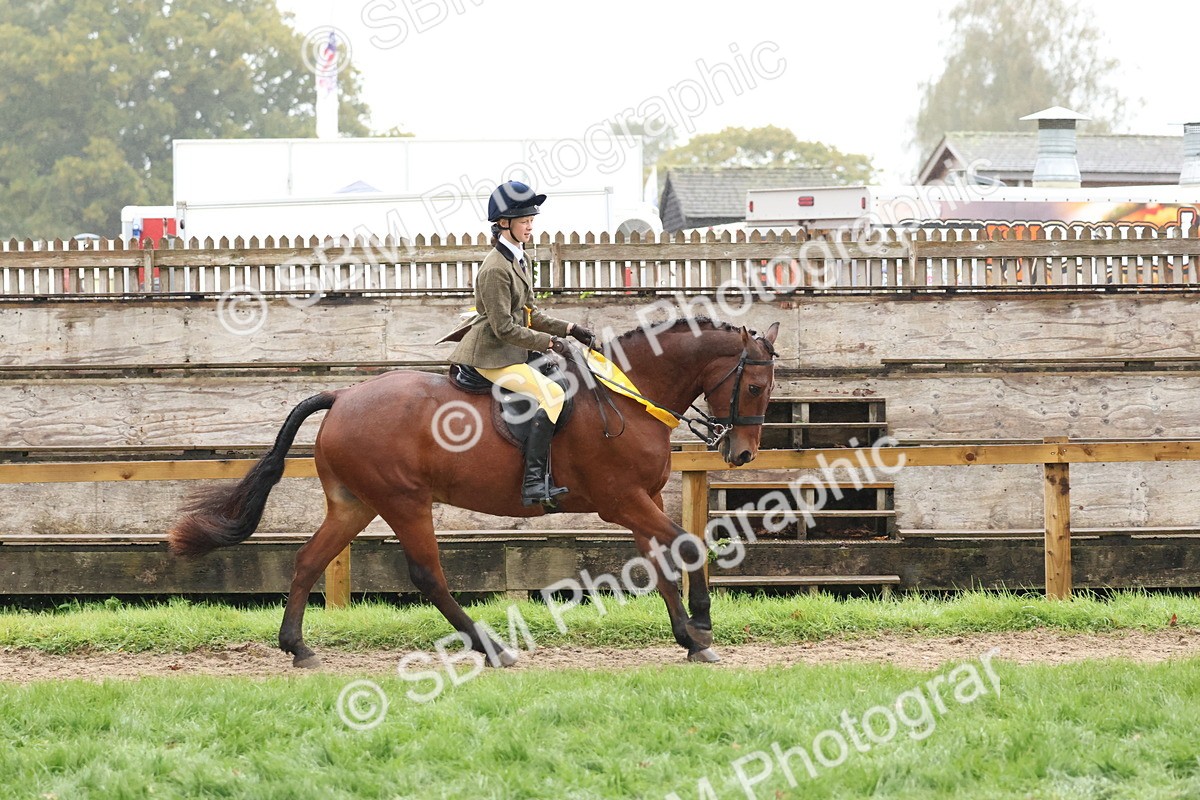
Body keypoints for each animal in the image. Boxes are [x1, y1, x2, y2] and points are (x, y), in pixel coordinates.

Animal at [168, 318, 780, 666]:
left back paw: (298, 648)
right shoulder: (623, 501)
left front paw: (689, 637)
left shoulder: (640, 504)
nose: (742, 454)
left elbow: (663, 563)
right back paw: (492, 650)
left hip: (355, 504)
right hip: (405, 503)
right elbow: (688, 545)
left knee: (307, 561)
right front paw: (702, 624)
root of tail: (342, 397)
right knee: (427, 576)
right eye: (754, 385)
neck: (628, 396)